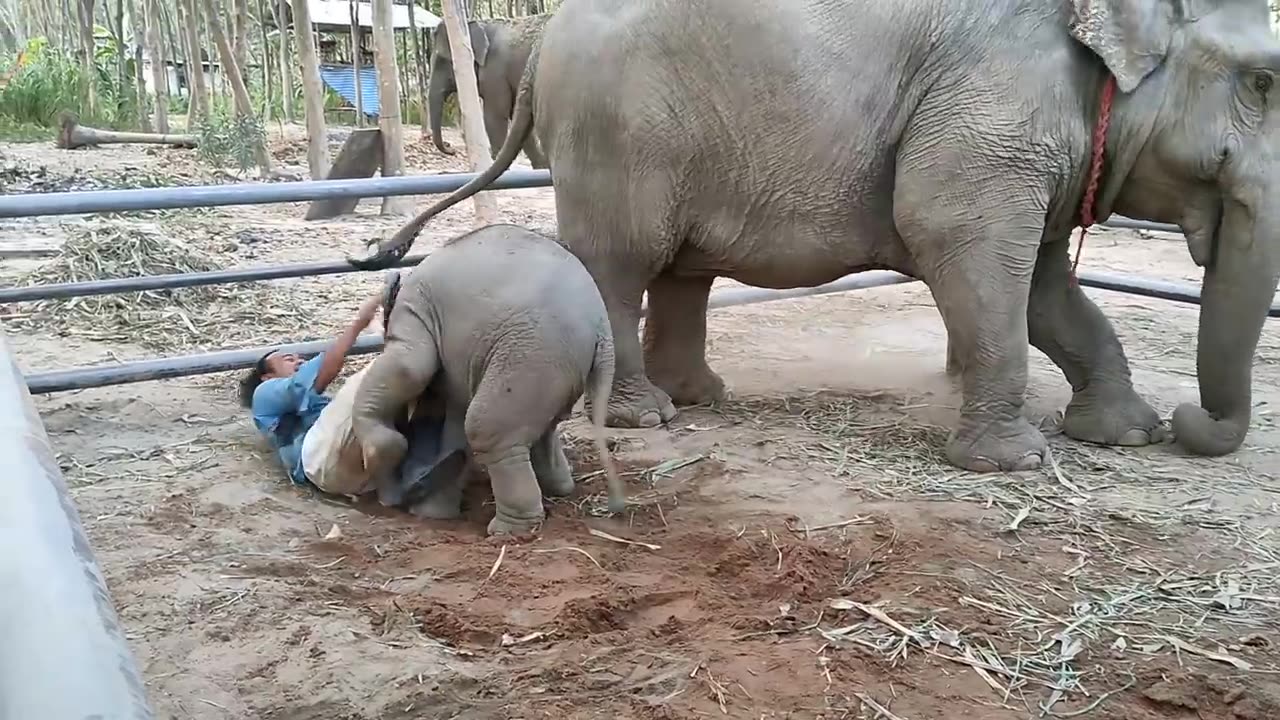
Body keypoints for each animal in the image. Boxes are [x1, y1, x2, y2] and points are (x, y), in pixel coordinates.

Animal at [353, 222, 622, 532]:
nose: (390, 503)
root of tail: (602, 327)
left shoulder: (415, 311)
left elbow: (409, 368)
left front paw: (387, 453)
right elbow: (453, 417)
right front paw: (435, 512)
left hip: (530, 354)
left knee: (485, 427)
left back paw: (508, 531)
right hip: (557, 365)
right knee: (540, 426)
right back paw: (558, 488)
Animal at [430, 13, 550, 167]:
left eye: (442, 60)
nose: (450, 148)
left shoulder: (495, 73)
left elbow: (495, 116)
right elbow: (517, 118)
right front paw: (541, 167)